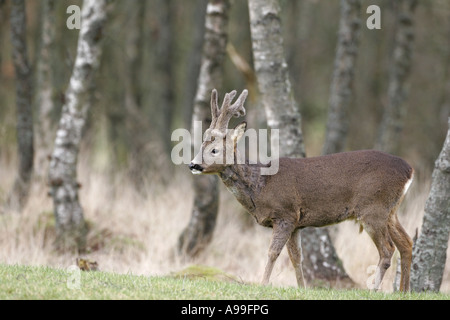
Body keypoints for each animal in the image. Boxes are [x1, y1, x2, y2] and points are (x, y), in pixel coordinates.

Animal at [188, 89, 414, 292]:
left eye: (214, 150)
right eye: (200, 146)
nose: (192, 164)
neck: (261, 186)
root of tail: (409, 170)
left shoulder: (285, 214)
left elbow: (272, 253)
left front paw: (263, 284)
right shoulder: (296, 222)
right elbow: (296, 257)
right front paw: (302, 287)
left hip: (373, 208)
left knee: (387, 250)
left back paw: (374, 289)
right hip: (390, 210)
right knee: (407, 243)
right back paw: (403, 291)